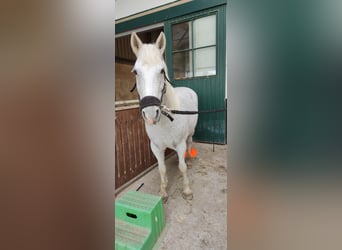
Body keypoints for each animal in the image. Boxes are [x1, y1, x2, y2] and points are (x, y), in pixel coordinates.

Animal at [132, 32, 200, 202]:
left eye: (162, 71)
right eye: (135, 72)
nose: (150, 114)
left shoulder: (180, 143)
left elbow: (182, 168)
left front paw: (187, 190)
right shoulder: (156, 147)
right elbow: (161, 169)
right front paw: (163, 192)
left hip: (191, 132)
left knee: (189, 144)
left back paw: (189, 160)